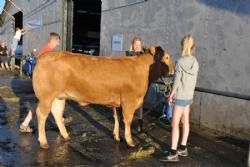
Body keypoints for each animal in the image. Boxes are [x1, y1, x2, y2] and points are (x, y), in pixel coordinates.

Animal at [32, 46, 173, 149]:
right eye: (166, 57)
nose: (173, 68)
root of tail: (43, 57)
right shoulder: (129, 101)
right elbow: (127, 120)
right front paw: (130, 141)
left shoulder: (119, 102)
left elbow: (117, 118)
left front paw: (117, 136)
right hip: (46, 96)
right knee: (41, 115)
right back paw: (43, 142)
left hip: (59, 97)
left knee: (56, 113)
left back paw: (66, 136)